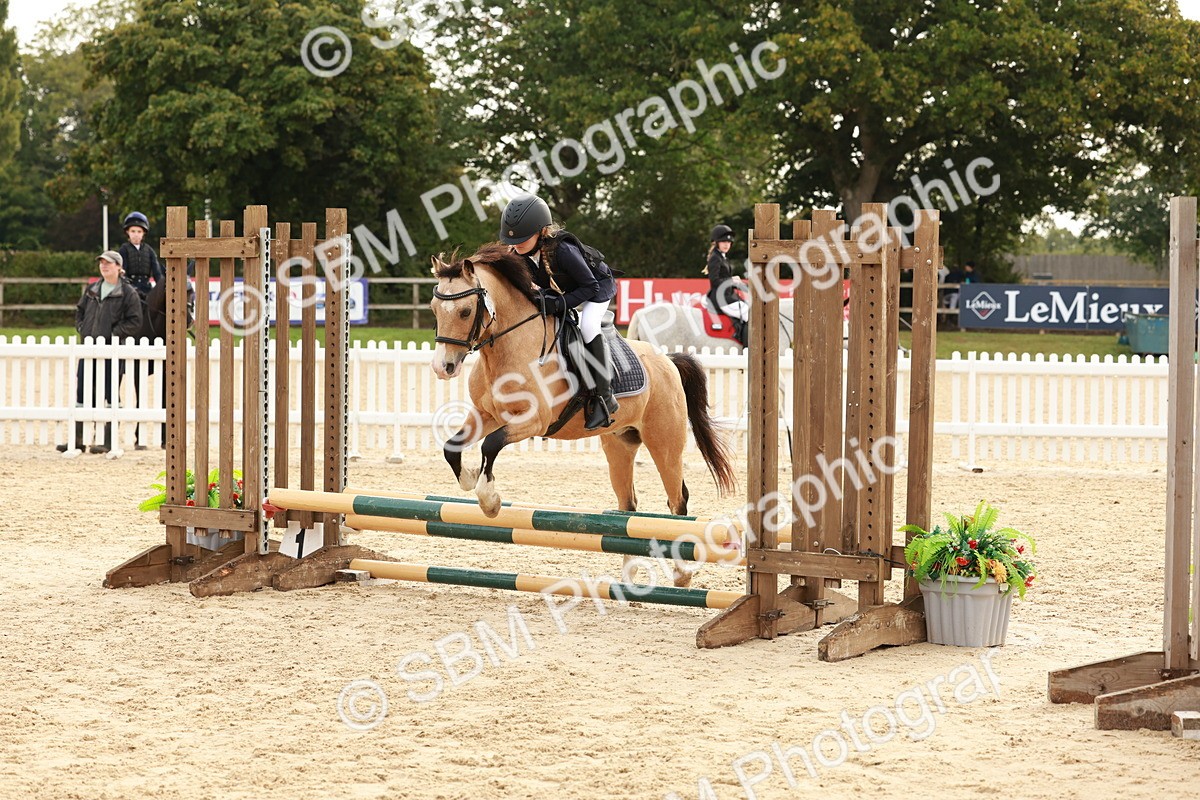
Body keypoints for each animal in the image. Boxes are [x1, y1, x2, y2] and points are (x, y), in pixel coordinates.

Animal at [429, 244, 737, 586]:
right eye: (434, 309)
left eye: (465, 311)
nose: (443, 367)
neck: (510, 347)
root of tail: (667, 360)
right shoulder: (486, 414)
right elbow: (452, 447)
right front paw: (471, 478)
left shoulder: (533, 421)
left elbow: (490, 445)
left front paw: (490, 501)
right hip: (619, 445)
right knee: (628, 505)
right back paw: (628, 576)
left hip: (665, 444)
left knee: (677, 501)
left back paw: (682, 575)